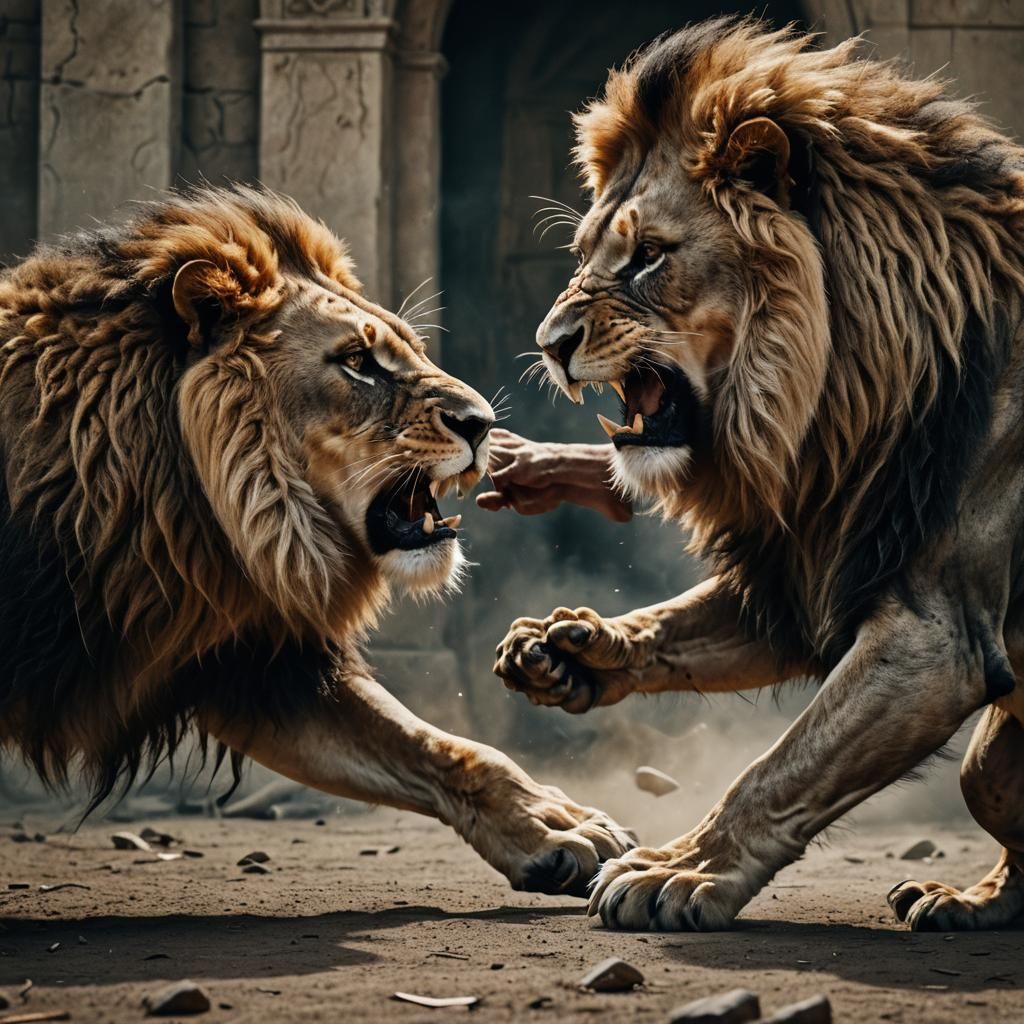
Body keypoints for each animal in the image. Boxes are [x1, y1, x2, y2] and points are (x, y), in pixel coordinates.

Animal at [0, 184, 633, 897]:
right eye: (357, 363)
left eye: (412, 347)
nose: (482, 423)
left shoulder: (254, 661)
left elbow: (441, 747)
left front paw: (550, 825)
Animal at [494, 18, 1024, 931]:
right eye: (585, 254)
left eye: (649, 257)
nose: (550, 342)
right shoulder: (808, 564)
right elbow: (683, 630)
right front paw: (570, 649)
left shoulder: (936, 636)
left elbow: (780, 768)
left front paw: (680, 871)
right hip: (992, 766)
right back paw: (967, 899)